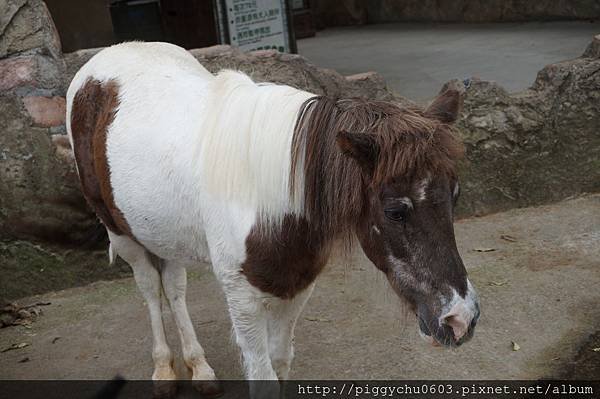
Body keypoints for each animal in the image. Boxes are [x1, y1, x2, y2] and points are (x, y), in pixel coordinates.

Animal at [65, 42, 480, 398]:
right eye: (395, 211)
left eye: (455, 195)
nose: (461, 319)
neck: (267, 200)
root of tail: (100, 63)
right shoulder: (242, 299)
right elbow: (262, 373)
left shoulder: (296, 285)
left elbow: (280, 362)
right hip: (122, 233)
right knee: (152, 288)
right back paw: (165, 370)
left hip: (163, 231)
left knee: (175, 286)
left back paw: (199, 367)